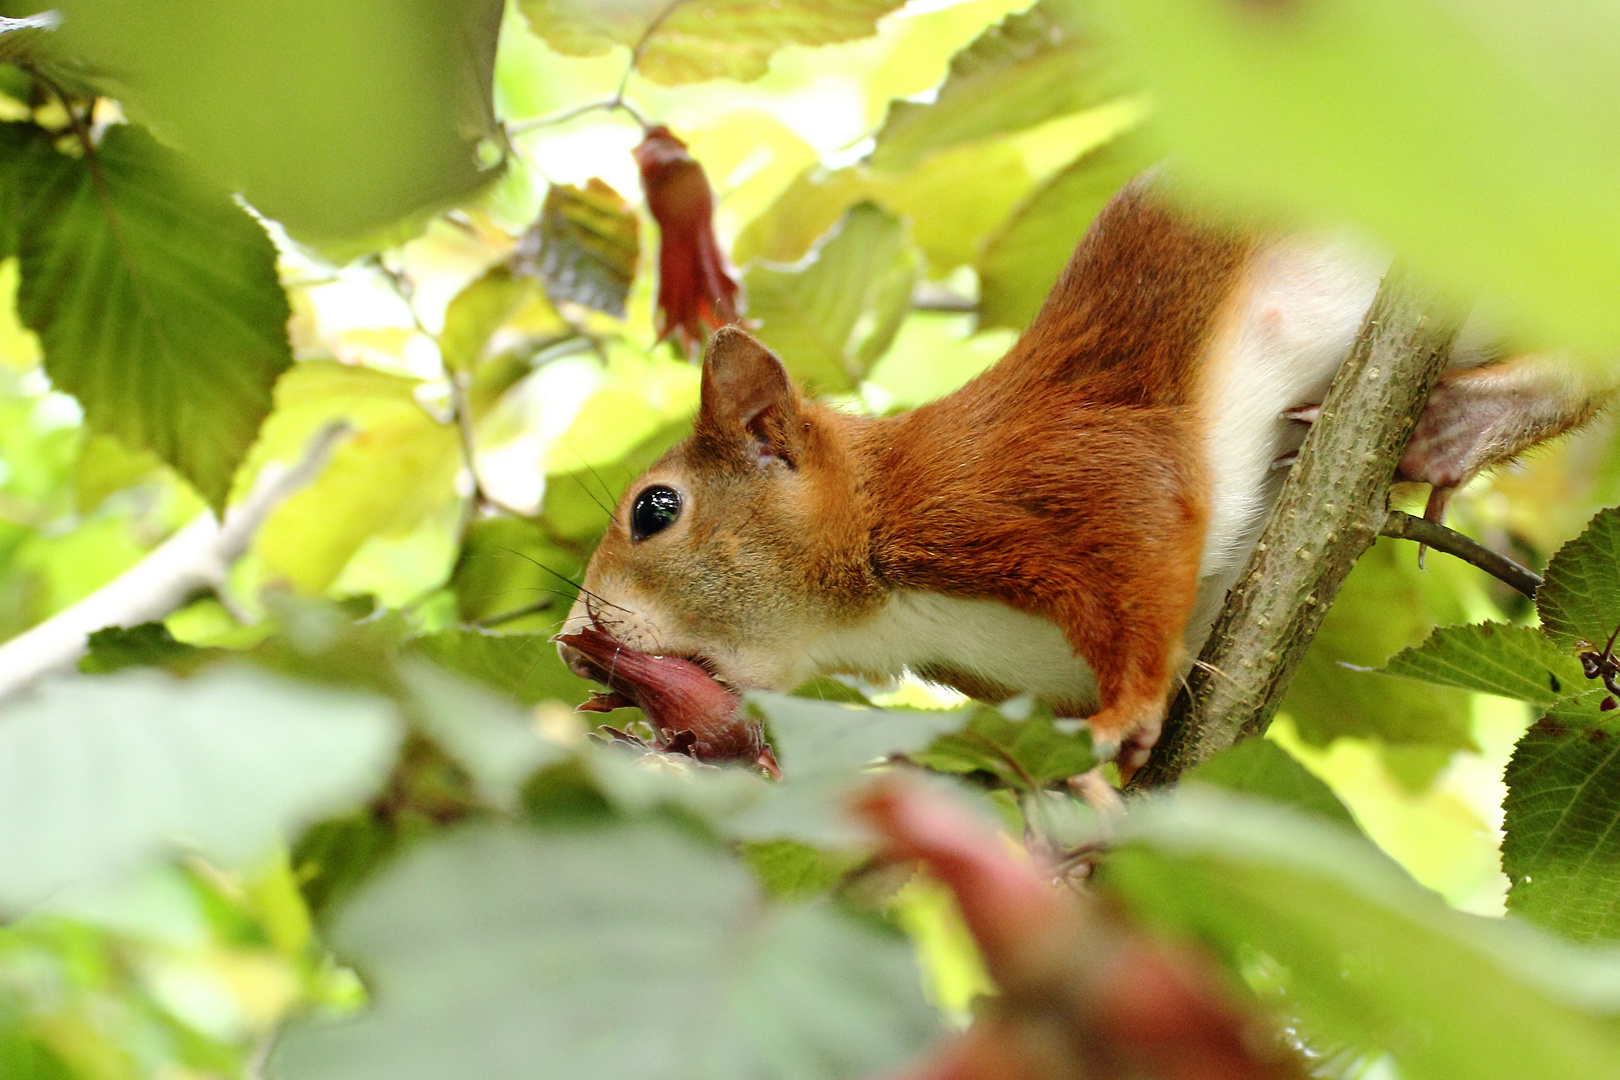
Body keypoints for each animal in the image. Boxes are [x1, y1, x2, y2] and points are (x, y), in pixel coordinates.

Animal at [554, 177, 1594, 773]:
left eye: (655, 509)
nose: (570, 642)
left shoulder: (1022, 480)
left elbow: (1145, 528)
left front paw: (1126, 713)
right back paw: (1459, 429)